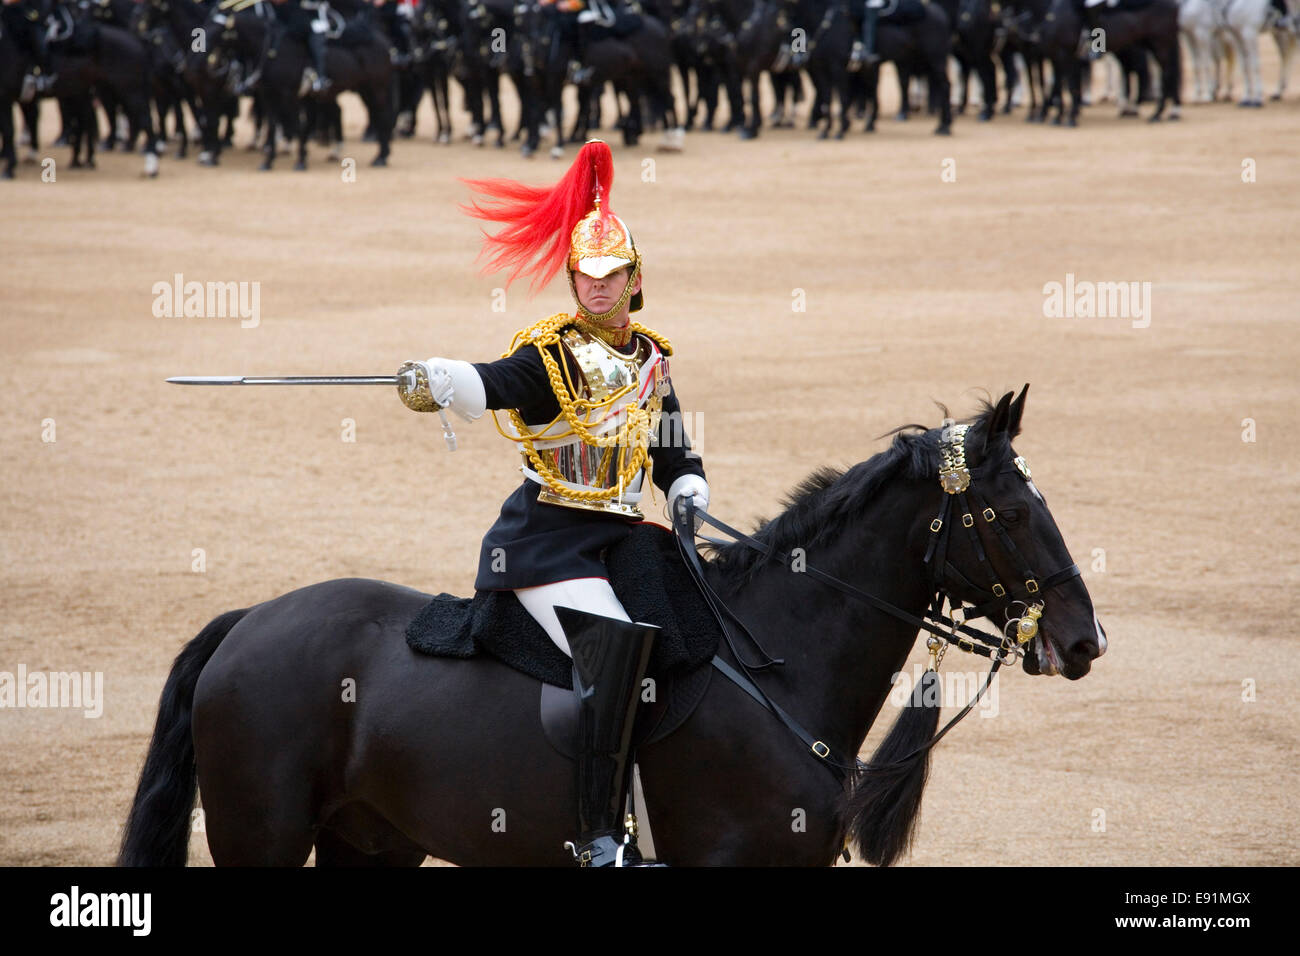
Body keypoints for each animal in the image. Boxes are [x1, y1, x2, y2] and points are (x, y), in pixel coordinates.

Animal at [119, 390, 1107, 868]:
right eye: (1011, 513)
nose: (1084, 639)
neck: (779, 673)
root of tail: (248, 621)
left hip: (372, 843)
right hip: (264, 838)